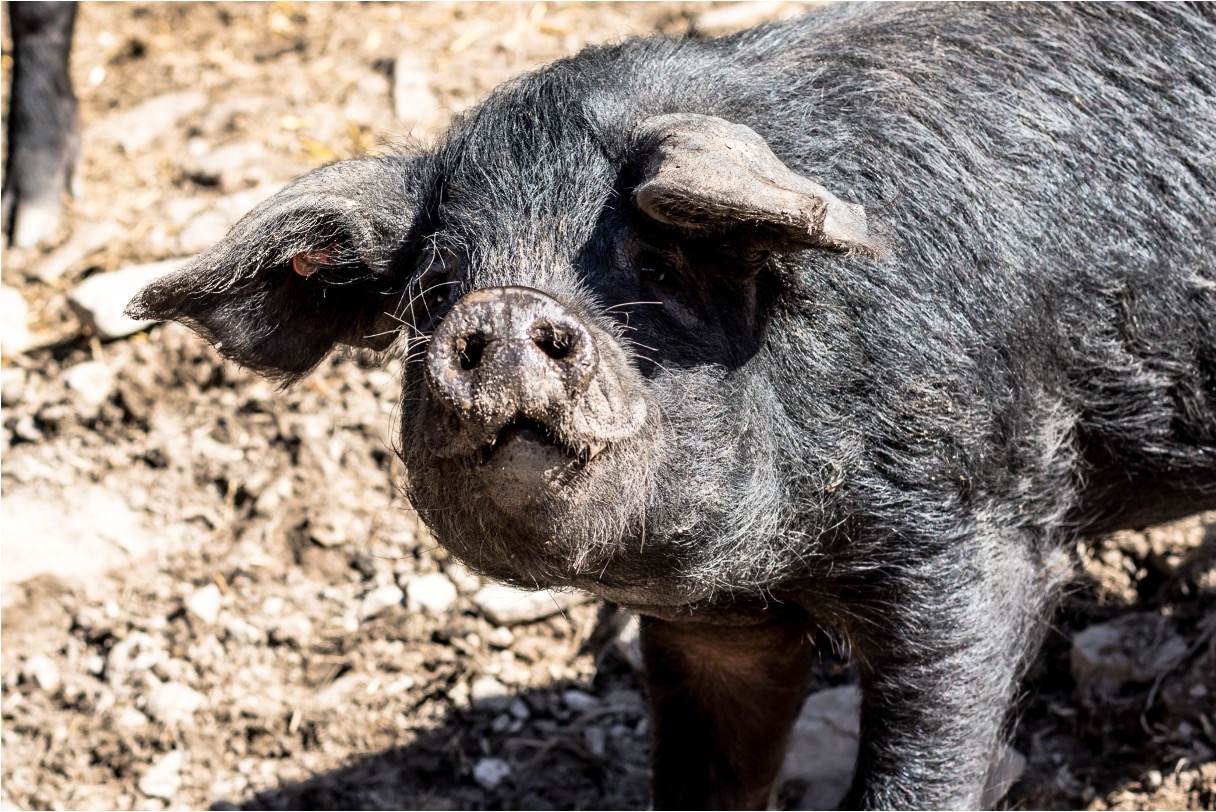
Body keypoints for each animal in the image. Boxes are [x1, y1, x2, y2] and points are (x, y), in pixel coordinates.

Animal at [127, 3, 1216, 808]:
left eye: (653, 267)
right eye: (433, 291)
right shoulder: (712, 627)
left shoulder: (975, 535)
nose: (503, 307)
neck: (776, 557)